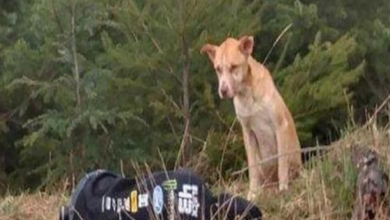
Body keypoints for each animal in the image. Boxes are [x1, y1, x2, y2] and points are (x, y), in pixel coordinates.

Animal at [200, 36, 304, 199]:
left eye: (234, 67)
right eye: (218, 69)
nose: (223, 90)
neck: (247, 95)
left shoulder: (280, 125)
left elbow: (282, 162)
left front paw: (284, 187)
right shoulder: (248, 133)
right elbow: (252, 168)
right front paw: (253, 193)